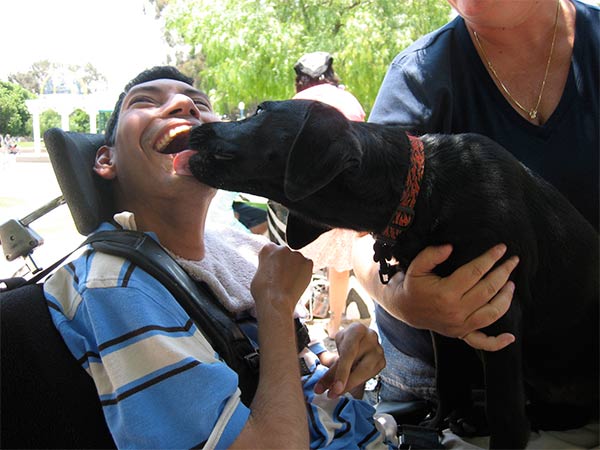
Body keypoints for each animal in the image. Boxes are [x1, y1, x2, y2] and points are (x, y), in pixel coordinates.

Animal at [170, 100, 600, 448]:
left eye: (260, 110)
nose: (193, 126)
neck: (423, 192)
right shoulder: (447, 310)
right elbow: (449, 378)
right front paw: (438, 423)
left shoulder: (500, 313)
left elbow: (505, 407)